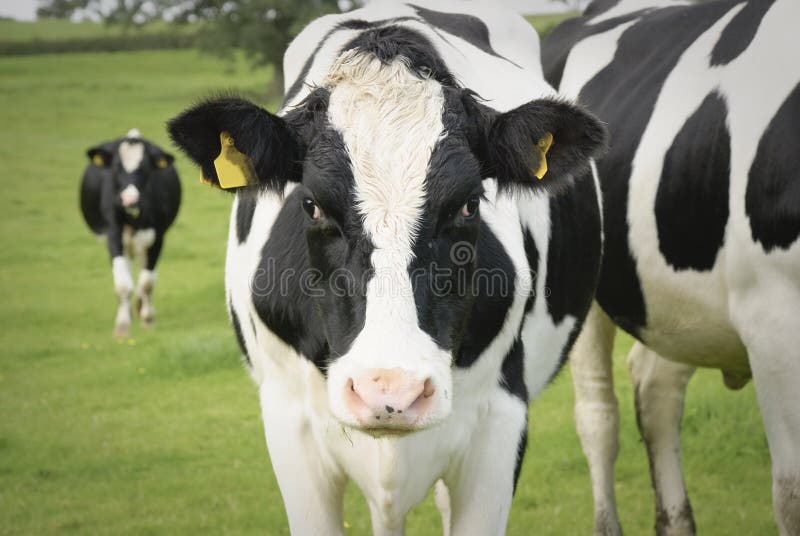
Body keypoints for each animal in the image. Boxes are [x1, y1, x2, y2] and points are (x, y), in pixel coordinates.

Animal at [80, 130, 180, 338]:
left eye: (145, 167)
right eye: (117, 166)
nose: (129, 198)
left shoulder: (157, 236)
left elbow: (147, 282)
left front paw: (147, 319)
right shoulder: (113, 235)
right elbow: (123, 284)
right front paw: (122, 326)